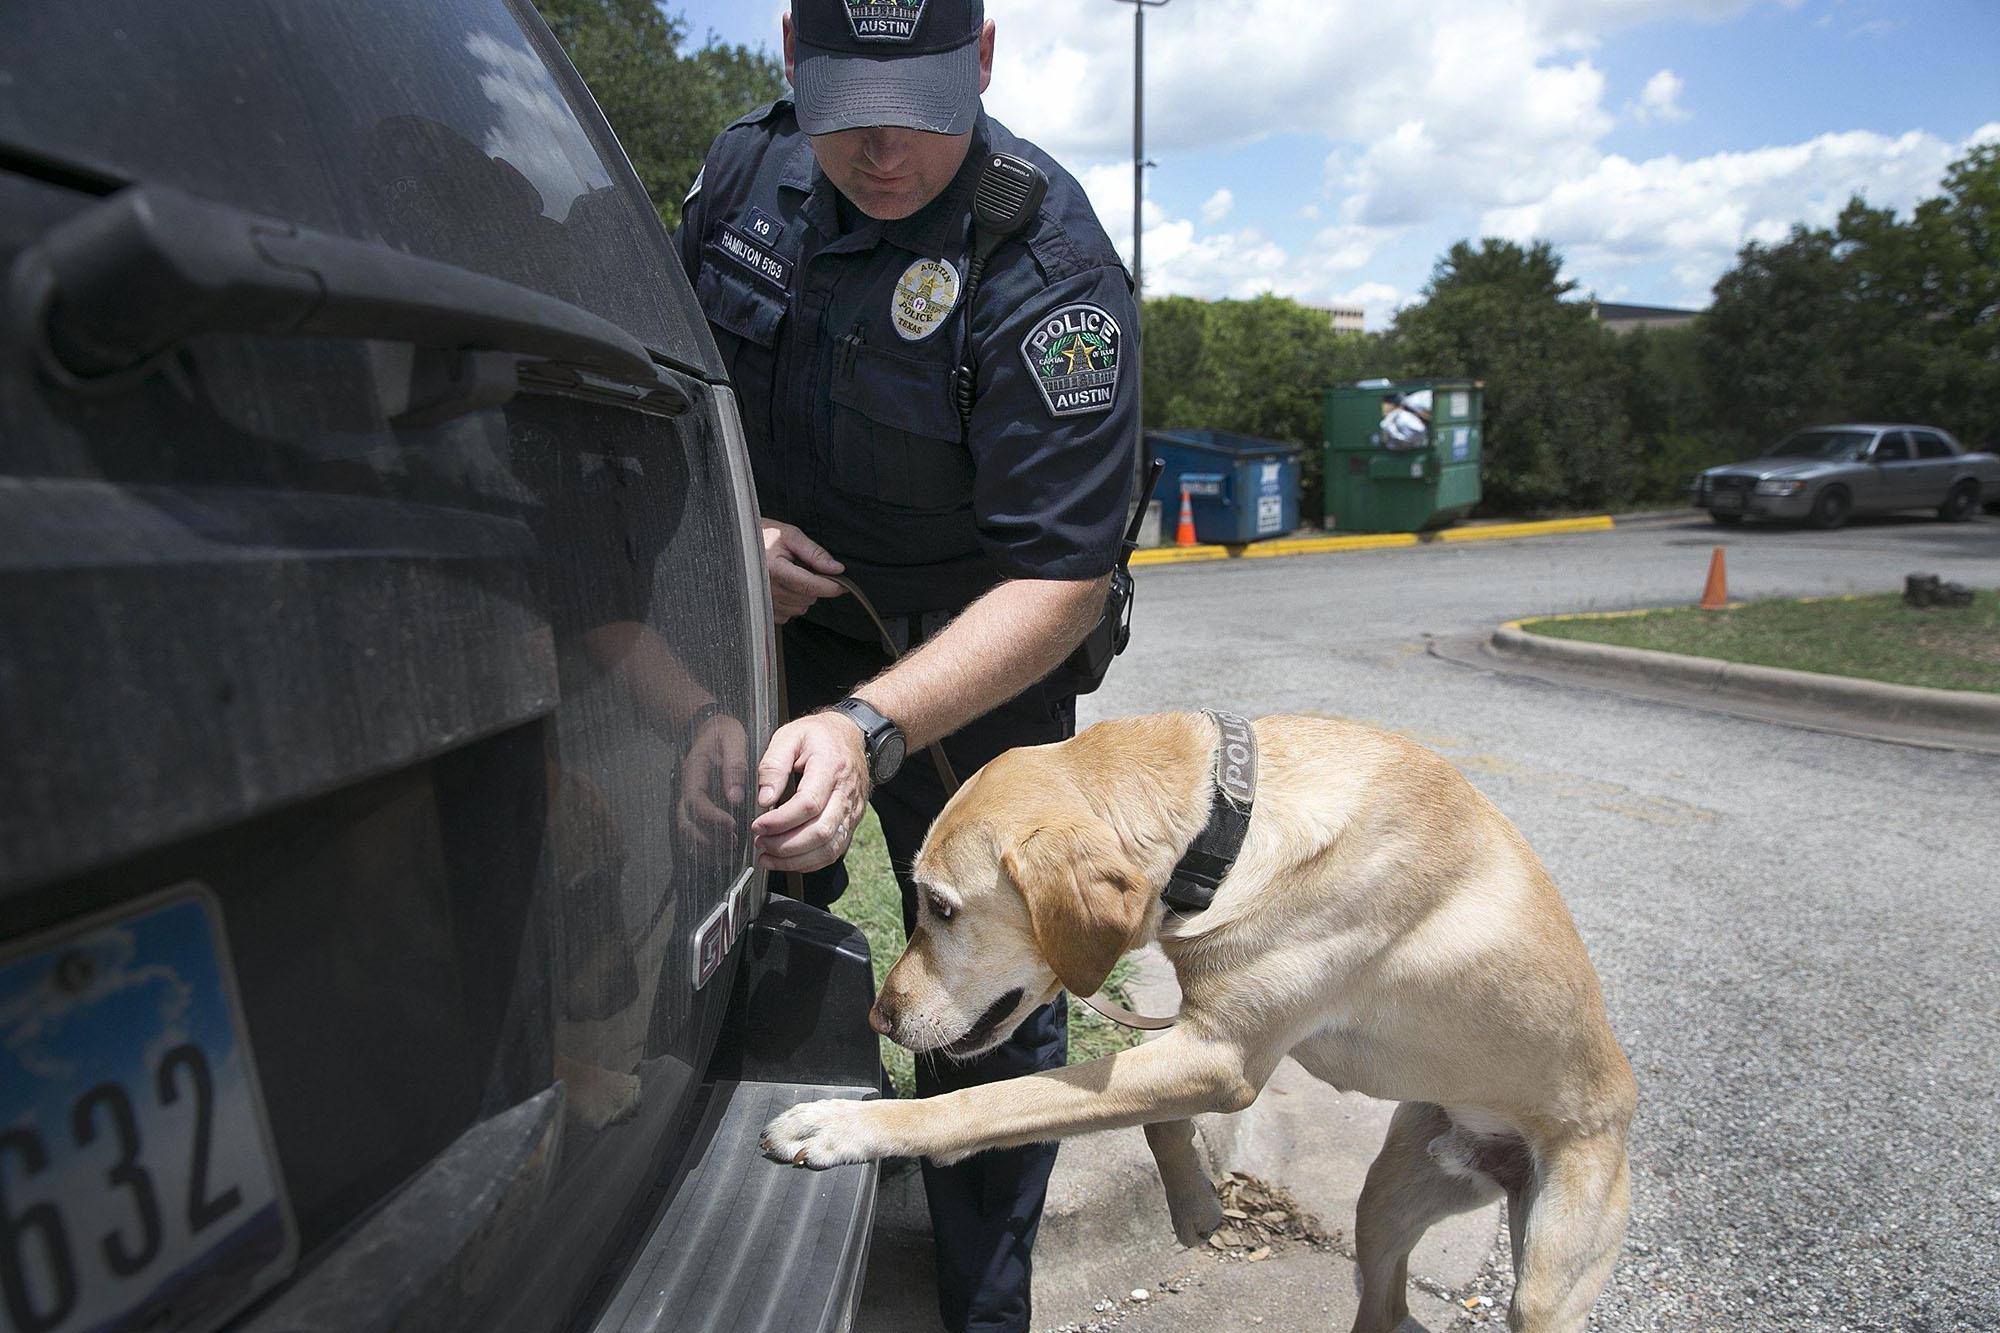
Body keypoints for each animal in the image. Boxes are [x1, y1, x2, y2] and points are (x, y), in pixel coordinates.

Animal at [756, 712, 1632, 1320]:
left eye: (939, 906)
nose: (878, 1016)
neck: (1228, 824)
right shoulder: (1197, 1039)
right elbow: (1150, 1117)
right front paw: (1192, 1201)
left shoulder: (1221, 1057)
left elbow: (993, 1100)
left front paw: (847, 1124)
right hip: (1384, 1202)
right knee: (1385, 1306)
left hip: (1548, 1275)